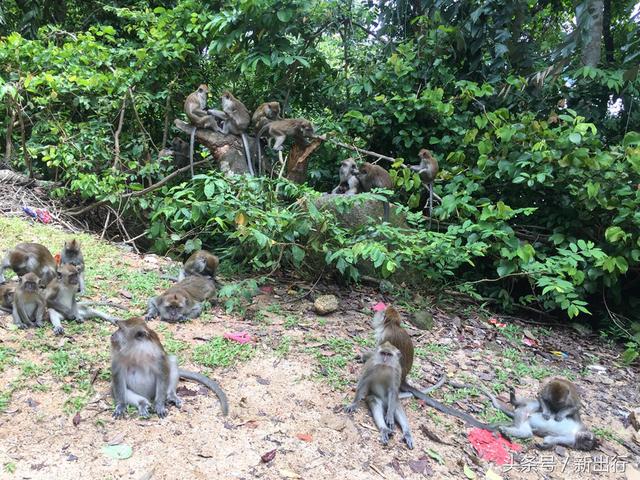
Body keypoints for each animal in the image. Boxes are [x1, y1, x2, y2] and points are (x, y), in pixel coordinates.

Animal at [364, 306, 496, 430]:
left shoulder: (384, 337)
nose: (377, 312)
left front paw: (364, 356)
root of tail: (403, 379)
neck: (392, 326)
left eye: (382, 312)